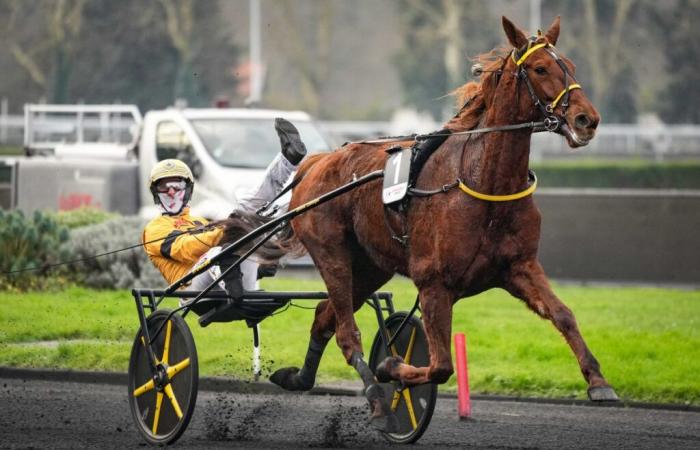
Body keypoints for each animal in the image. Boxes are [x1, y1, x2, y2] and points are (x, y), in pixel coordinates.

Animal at [268, 14, 616, 428]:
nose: (587, 119)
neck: (483, 183)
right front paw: (390, 369)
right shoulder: (434, 283)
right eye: (540, 68)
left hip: (370, 265)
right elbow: (441, 366)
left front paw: (598, 382)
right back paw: (376, 397)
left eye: (572, 66)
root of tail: (318, 162)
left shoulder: (519, 267)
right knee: (346, 332)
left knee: (325, 316)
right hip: (332, 252)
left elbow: (563, 314)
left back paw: (297, 378)